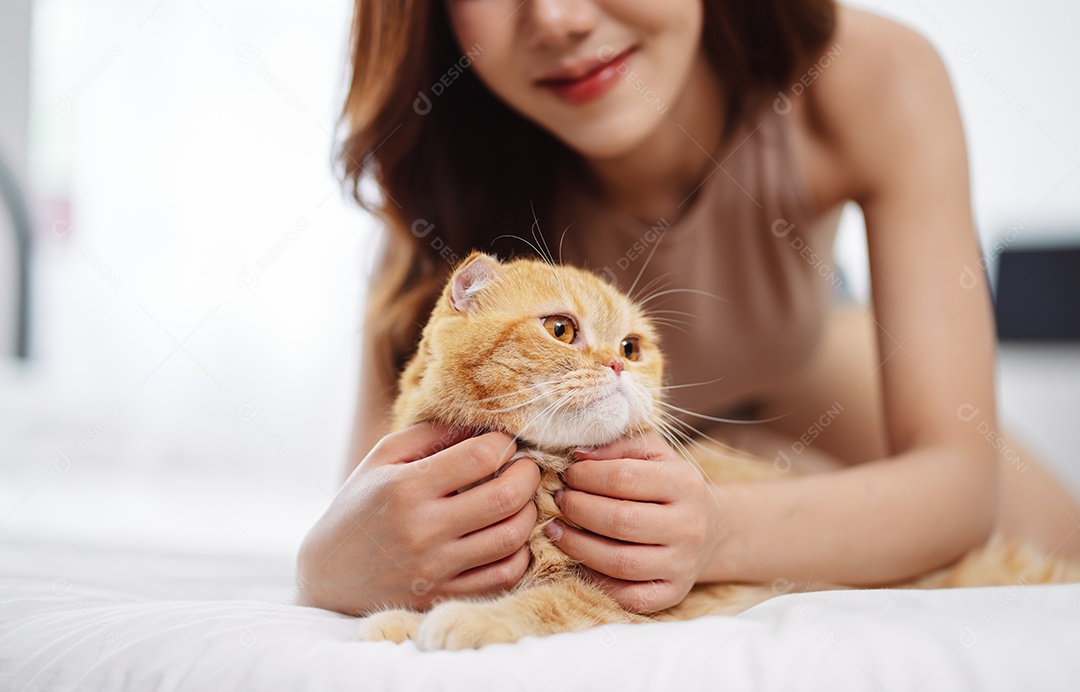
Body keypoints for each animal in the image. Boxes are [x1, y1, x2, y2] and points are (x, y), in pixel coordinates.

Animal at [356, 252, 1080, 647]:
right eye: (560, 330)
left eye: (632, 348)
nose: (618, 367)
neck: (544, 468)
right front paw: (399, 622)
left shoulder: (640, 598)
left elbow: (548, 603)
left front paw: (465, 622)